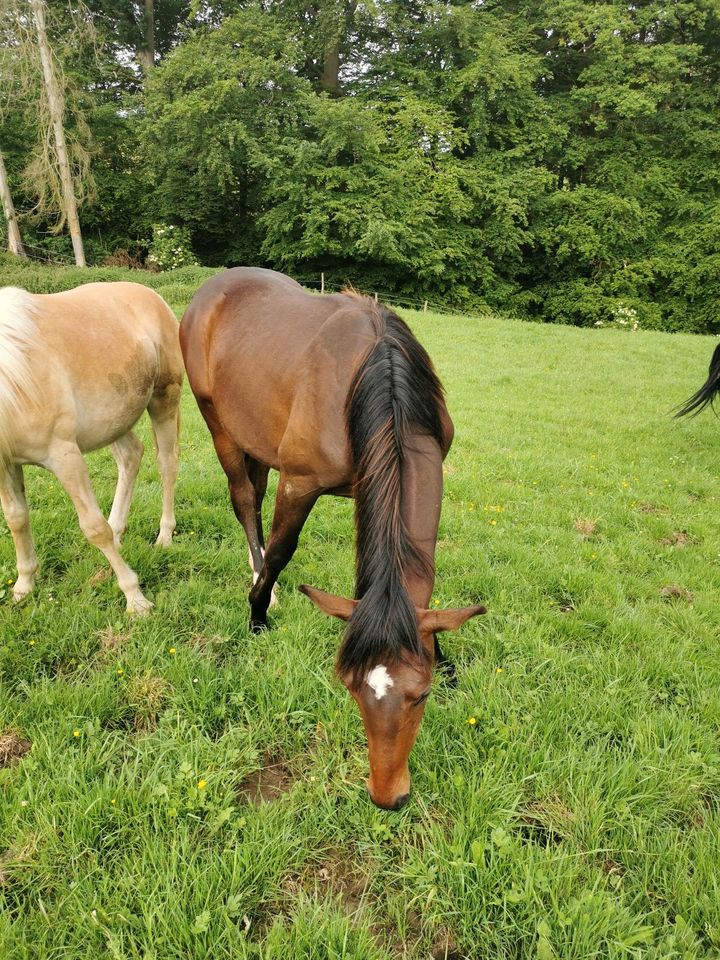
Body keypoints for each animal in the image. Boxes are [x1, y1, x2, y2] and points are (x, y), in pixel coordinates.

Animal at [0, 284, 183, 616]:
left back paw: (164, 537)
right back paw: (119, 532)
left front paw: (136, 599)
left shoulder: (65, 457)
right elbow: (17, 518)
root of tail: (153, 298)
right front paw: (23, 585)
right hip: (115, 422)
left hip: (164, 401)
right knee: (131, 457)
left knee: (167, 465)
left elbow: (94, 528)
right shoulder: (6, 462)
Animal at [180, 268, 484, 808]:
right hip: (219, 426)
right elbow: (282, 550)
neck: (379, 377)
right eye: (349, 687)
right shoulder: (300, 483)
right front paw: (257, 615)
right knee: (245, 501)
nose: (388, 797)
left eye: (423, 694)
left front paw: (443, 654)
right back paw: (261, 585)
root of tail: (213, 286)